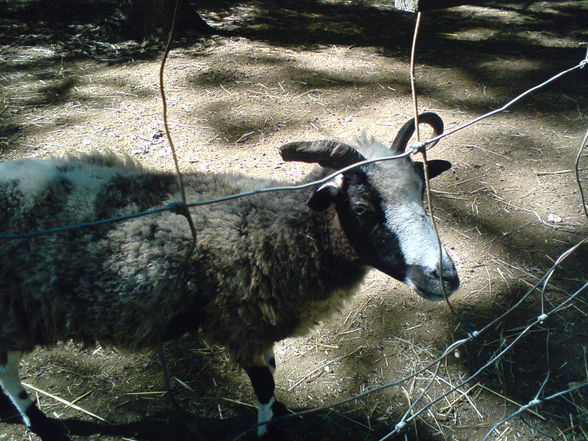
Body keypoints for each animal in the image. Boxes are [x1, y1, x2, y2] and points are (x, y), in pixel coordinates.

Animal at [0, 112, 460, 436]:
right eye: (362, 209)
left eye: (422, 192)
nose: (445, 277)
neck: (280, 229)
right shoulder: (244, 326)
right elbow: (264, 387)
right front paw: (267, 426)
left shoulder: (259, 327)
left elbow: (272, 376)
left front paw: (282, 413)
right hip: (14, 314)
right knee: (7, 371)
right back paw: (39, 421)